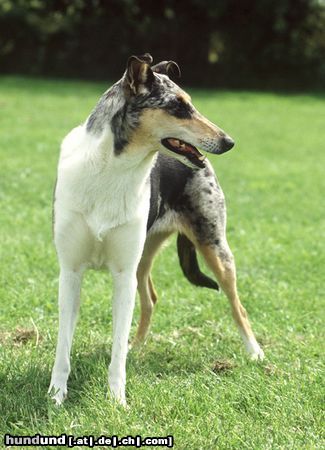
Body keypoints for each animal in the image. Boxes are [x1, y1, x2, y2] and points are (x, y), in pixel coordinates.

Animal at [50, 54, 264, 406]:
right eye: (178, 107)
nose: (229, 141)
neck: (112, 171)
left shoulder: (122, 273)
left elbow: (116, 349)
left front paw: (117, 402)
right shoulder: (71, 271)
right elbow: (63, 347)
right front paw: (55, 396)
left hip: (214, 246)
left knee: (238, 306)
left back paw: (256, 353)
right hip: (144, 259)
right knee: (150, 298)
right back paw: (136, 348)